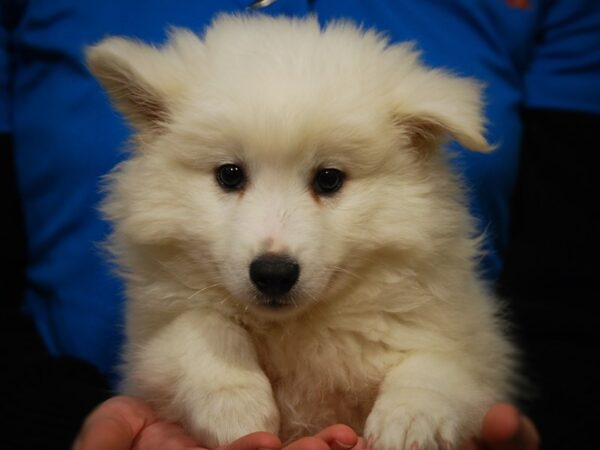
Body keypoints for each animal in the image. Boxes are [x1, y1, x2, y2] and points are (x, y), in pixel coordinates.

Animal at [86, 14, 516, 450]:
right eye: (230, 175)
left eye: (328, 179)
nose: (273, 273)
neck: (297, 328)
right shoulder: (147, 341)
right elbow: (198, 326)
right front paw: (235, 407)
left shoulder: (473, 342)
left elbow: (438, 367)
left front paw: (410, 420)